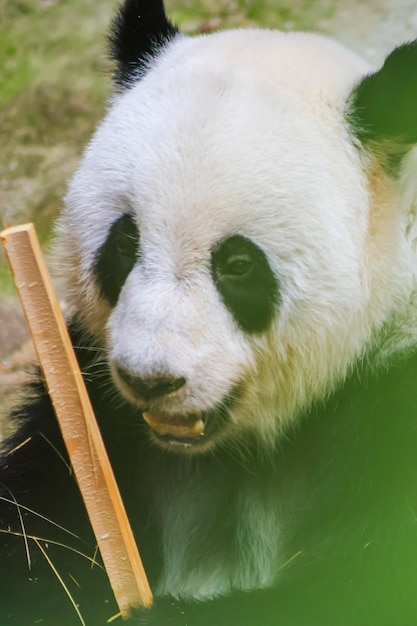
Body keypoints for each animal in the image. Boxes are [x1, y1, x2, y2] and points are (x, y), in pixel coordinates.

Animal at [0, 0, 416, 620]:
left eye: (238, 265)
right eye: (125, 242)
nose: (150, 379)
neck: (229, 455)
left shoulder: (392, 405)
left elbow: (351, 588)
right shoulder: (90, 409)